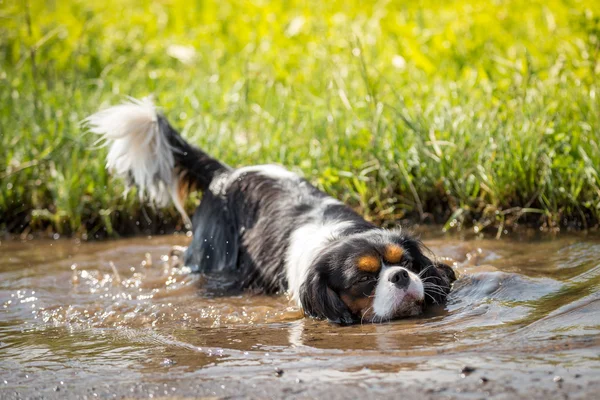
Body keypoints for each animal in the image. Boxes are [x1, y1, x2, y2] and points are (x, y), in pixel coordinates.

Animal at [85, 97, 454, 324]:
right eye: (364, 279)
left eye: (406, 263)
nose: (400, 276)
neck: (339, 236)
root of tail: (224, 174)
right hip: (213, 260)